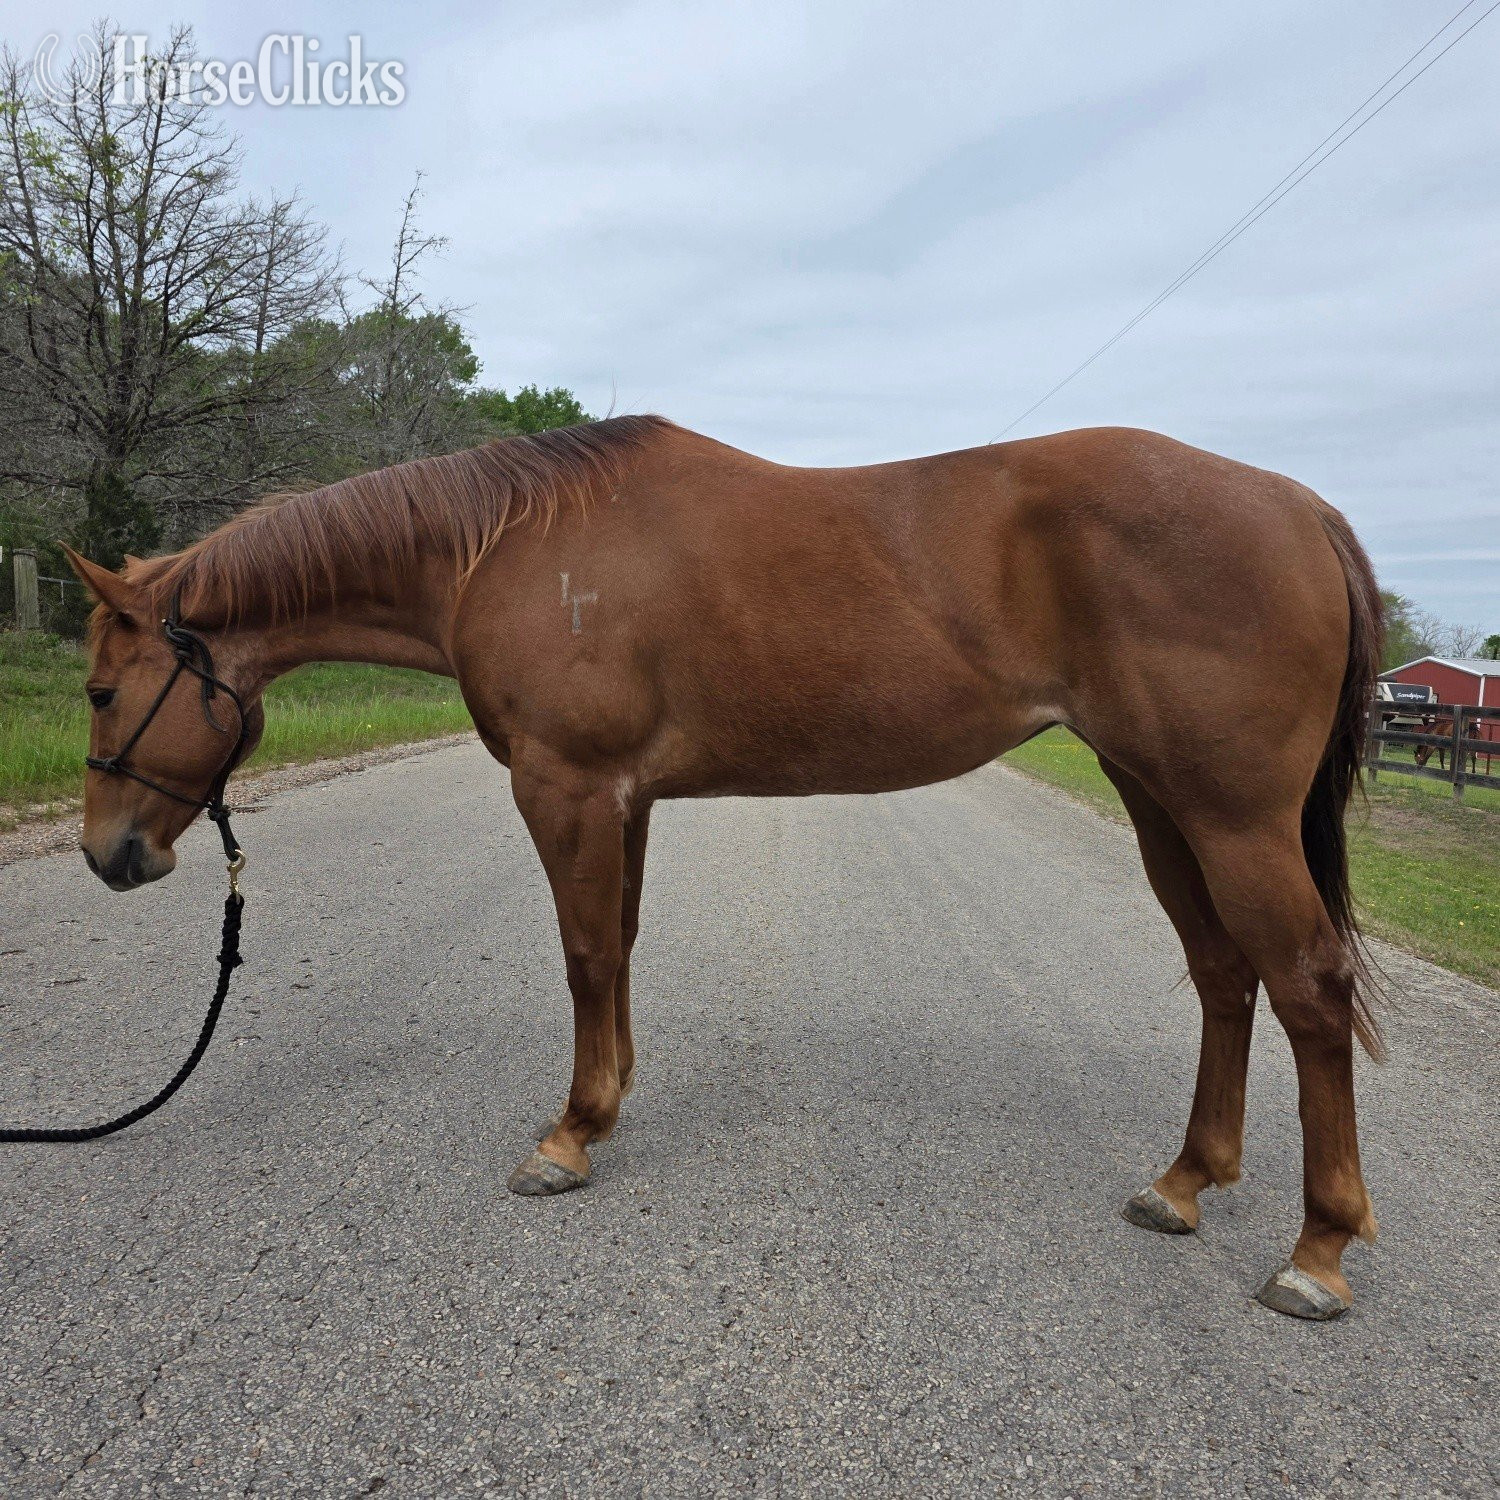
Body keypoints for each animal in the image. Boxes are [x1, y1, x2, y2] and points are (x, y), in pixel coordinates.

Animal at [63, 416, 1384, 1321]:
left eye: (103, 690)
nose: (107, 857)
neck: (513, 550)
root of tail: (1298, 504)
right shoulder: (625, 798)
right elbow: (619, 949)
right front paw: (607, 1103)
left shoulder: (567, 788)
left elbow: (584, 953)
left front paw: (567, 1138)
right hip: (1160, 802)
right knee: (1225, 977)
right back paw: (1185, 1181)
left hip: (1232, 817)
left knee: (1309, 989)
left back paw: (1317, 1253)